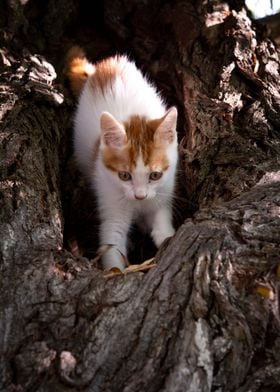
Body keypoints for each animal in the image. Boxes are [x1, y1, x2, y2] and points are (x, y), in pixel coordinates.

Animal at [66, 47, 178, 272]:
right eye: (124, 176)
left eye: (155, 175)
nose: (140, 196)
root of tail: (108, 64)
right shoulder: (109, 200)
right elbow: (112, 243)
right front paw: (115, 270)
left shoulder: (164, 188)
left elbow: (161, 213)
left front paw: (164, 233)